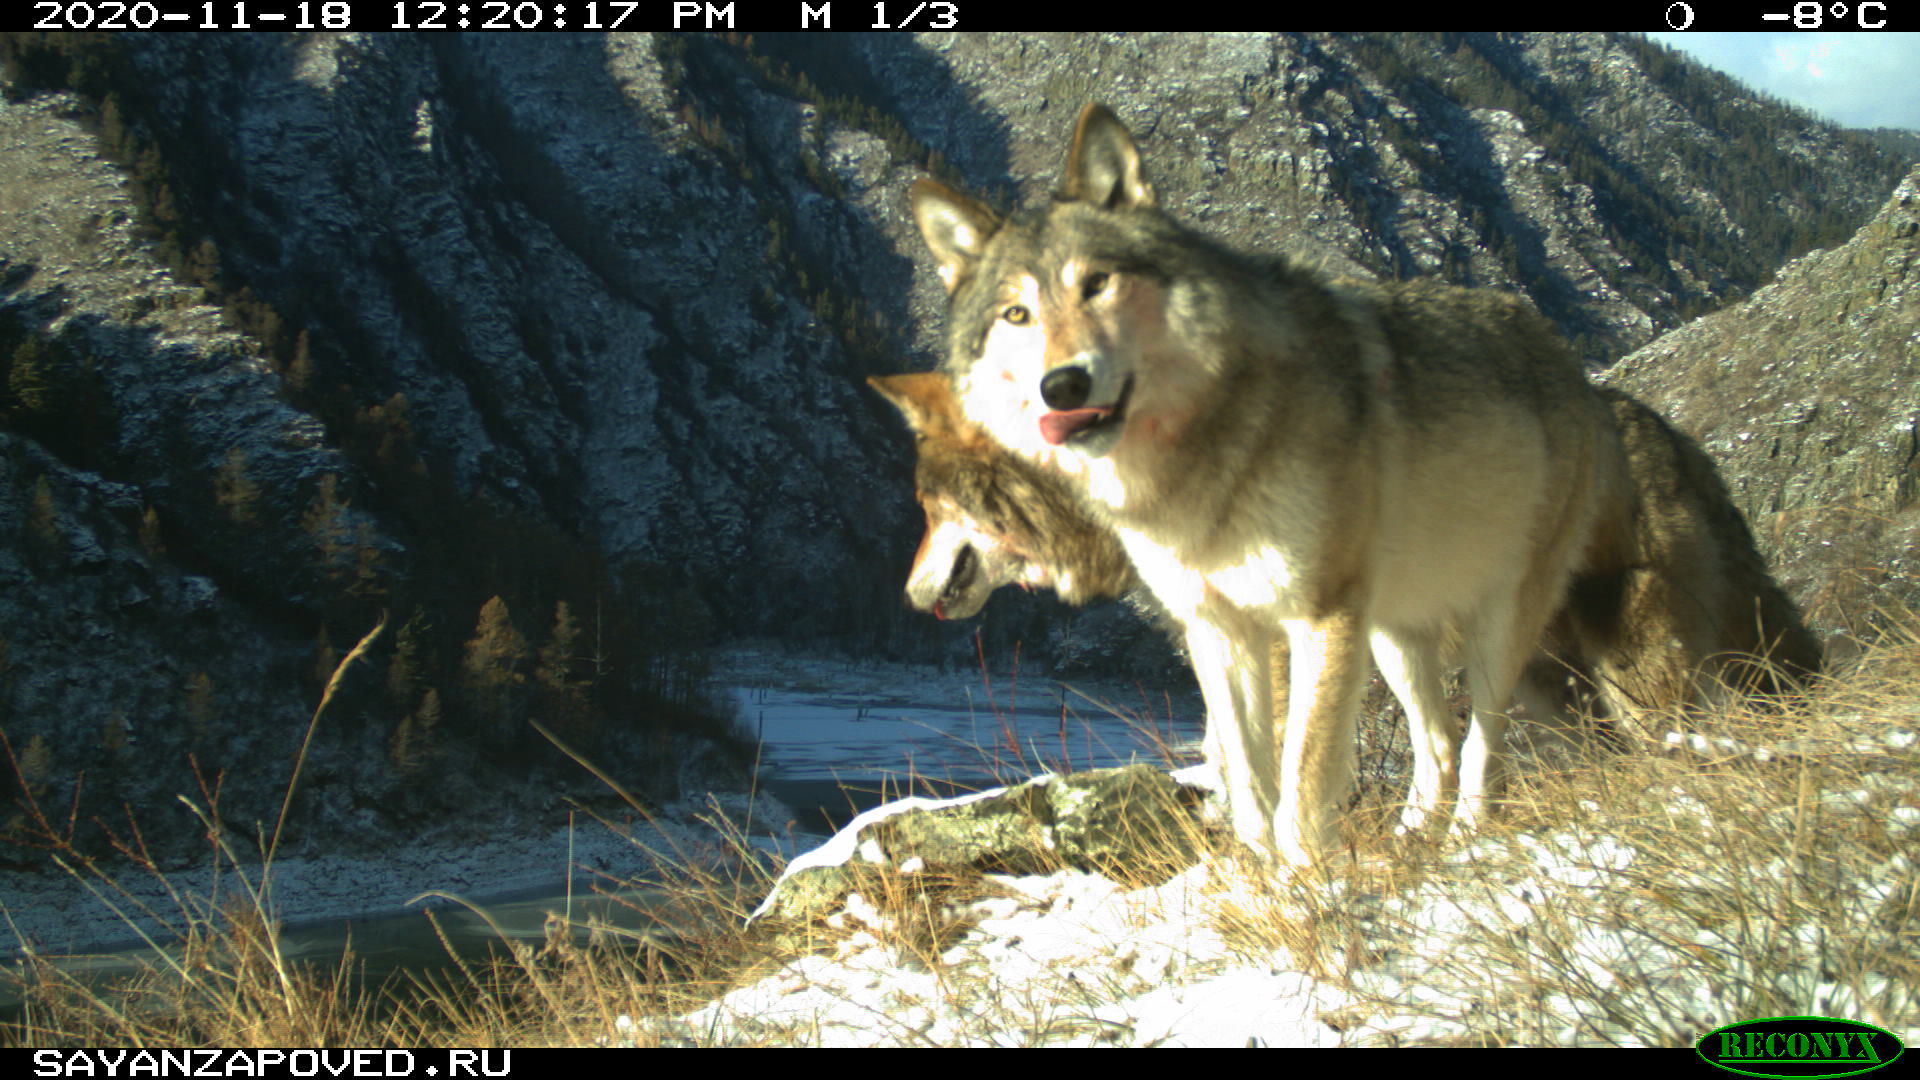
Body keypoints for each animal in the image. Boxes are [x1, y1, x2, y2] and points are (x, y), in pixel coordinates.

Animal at [906, 100, 1628, 857]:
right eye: (1016, 314)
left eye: (1097, 283)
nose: (1063, 385)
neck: (1192, 472)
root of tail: (1572, 364)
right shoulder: (1218, 629)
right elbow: (1248, 780)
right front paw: (1253, 874)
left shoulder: (1312, 623)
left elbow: (1299, 781)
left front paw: (1306, 881)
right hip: (1394, 636)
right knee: (1438, 742)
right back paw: (1410, 842)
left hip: (1494, 624)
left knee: (1487, 739)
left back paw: (1464, 837)